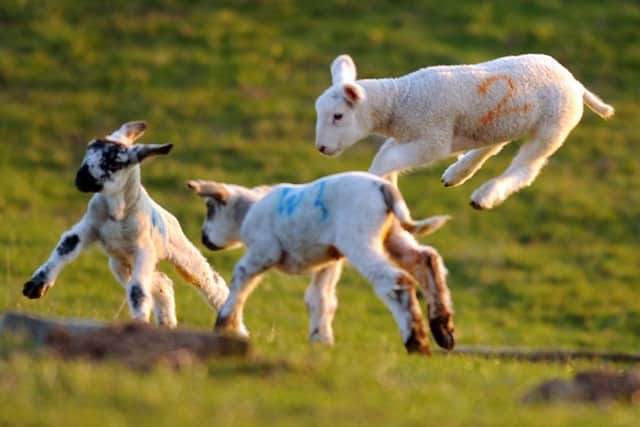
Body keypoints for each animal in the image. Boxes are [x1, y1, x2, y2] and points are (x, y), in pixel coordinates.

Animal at [22, 121, 229, 327]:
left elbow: (137, 291)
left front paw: (140, 322)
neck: (117, 213)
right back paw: (167, 324)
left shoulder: (143, 249)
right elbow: (66, 247)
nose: (81, 179)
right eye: (88, 150)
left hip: (177, 252)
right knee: (162, 283)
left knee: (209, 281)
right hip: (121, 265)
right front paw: (35, 287)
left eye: (114, 163)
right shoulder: (89, 227)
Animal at [188, 172, 454, 355]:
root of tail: (384, 186)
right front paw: (322, 340)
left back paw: (417, 343)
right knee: (426, 260)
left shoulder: (264, 251)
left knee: (395, 281)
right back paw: (443, 332)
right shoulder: (330, 260)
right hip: (394, 235)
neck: (249, 210)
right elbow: (320, 298)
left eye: (210, 207)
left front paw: (223, 326)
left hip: (358, 240)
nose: (203, 238)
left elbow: (239, 281)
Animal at [314, 54, 615, 209]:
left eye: (338, 116)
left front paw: (375, 181)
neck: (401, 99)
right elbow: (387, 154)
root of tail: (576, 84)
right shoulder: (410, 135)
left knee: (526, 169)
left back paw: (484, 196)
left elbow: (386, 158)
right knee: (493, 144)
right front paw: (388, 188)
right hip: (502, 121)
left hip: (552, 128)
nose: (321, 148)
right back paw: (457, 173)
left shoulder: (433, 137)